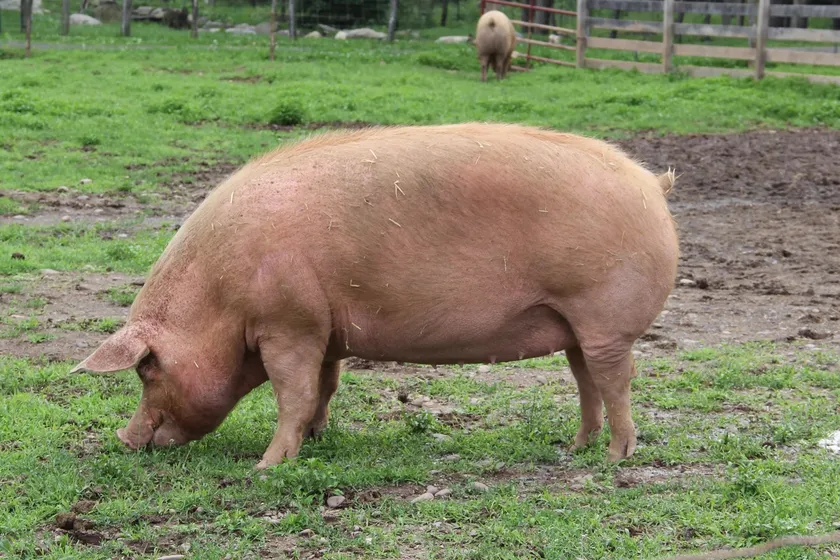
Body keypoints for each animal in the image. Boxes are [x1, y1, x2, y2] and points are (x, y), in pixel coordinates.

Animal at [71, 123, 679, 470]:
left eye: (145, 369)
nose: (124, 440)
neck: (218, 299)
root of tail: (651, 183)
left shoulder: (287, 323)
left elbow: (292, 393)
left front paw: (267, 467)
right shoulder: (323, 329)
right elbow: (325, 386)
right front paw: (319, 438)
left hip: (604, 314)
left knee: (615, 379)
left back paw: (616, 459)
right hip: (576, 324)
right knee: (586, 380)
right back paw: (574, 449)